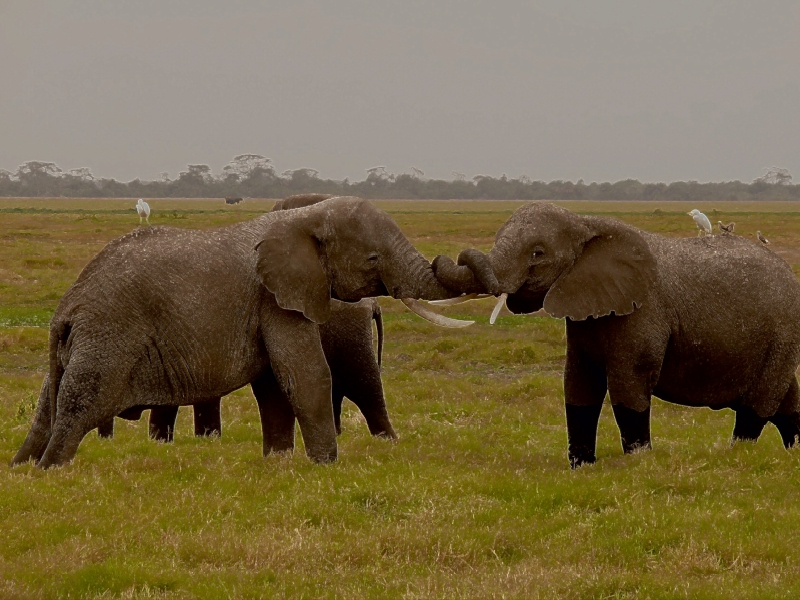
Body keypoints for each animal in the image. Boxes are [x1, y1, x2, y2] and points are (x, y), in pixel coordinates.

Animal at [14, 197, 462, 468]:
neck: (303, 217)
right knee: (78, 407)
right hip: (108, 337)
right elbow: (305, 374)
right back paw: (51, 471)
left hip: (84, 343)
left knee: (49, 407)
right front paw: (326, 468)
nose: (450, 258)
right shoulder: (275, 296)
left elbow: (275, 384)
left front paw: (278, 464)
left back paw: (23, 468)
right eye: (372, 258)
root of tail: (66, 307)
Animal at [434, 202, 800, 468]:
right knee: (788, 400)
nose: (440, 259)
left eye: (538, 253)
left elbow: (628, 385)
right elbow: (578, 385)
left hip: (783, 334)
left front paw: (638, 462)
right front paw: (582, 467)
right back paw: (792, 452)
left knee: (758, 406)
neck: (585, 224)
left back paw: (736, 455)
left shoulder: (643, 310)